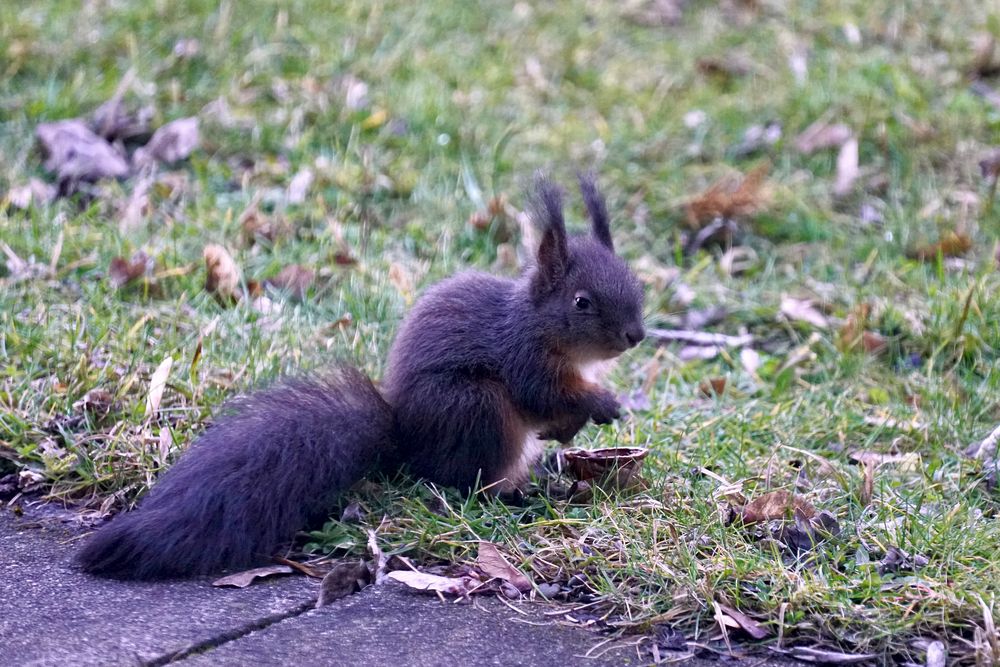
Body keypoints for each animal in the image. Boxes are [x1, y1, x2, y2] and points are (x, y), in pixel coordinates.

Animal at [74, 174, 644, 580]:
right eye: (582, 302)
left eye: (636, 282)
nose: (636, 334)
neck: (542, 325)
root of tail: (406, 444)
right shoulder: (521, 356)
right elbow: (542, 394)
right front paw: (601, 403)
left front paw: (576, 426)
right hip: (476, 407)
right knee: (467, 481)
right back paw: (515, 495)